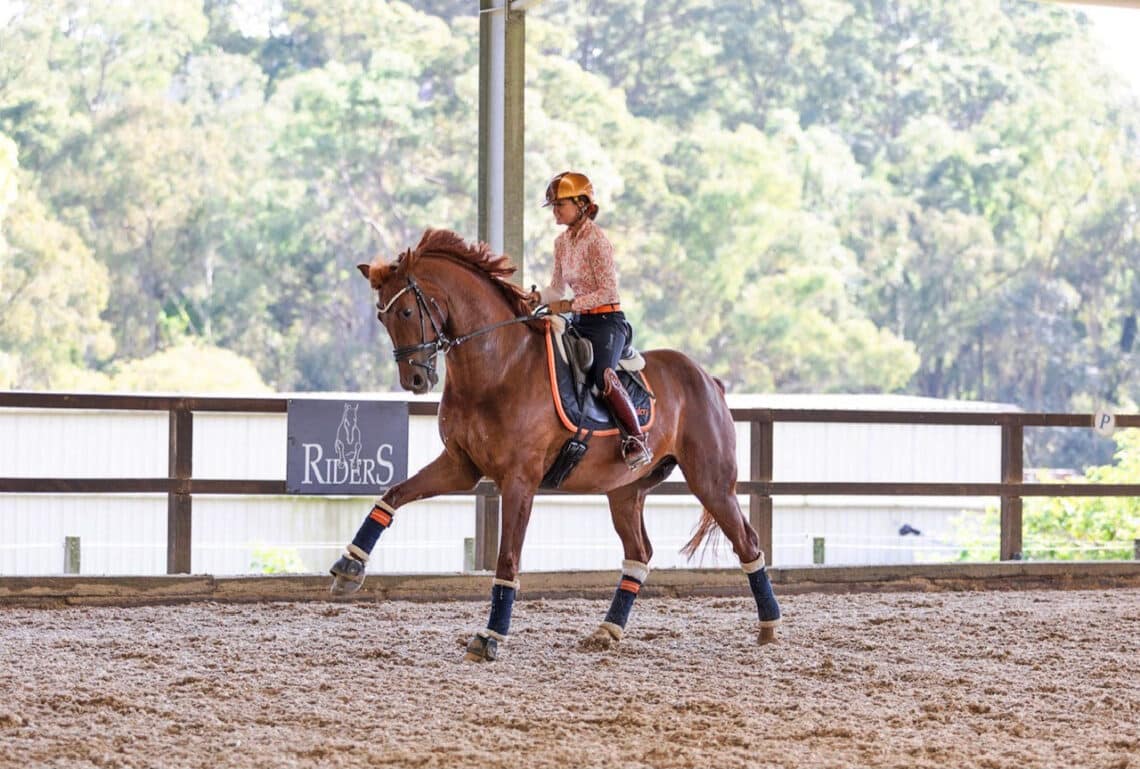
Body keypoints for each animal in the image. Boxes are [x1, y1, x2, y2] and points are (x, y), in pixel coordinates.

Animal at [328, 228, 775, 660]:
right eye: (382, 316)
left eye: (406, 312)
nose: (416, 380)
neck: (497, 367)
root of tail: (707, 378)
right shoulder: (460, 466)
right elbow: (393, 495)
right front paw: (349, 566)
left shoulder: (519, 480)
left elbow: (508, 557)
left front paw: (490, 637)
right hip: (625, 491)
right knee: (639, 554)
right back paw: (607, 630)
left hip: (710, 481)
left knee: (747, 542)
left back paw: (769, 625)